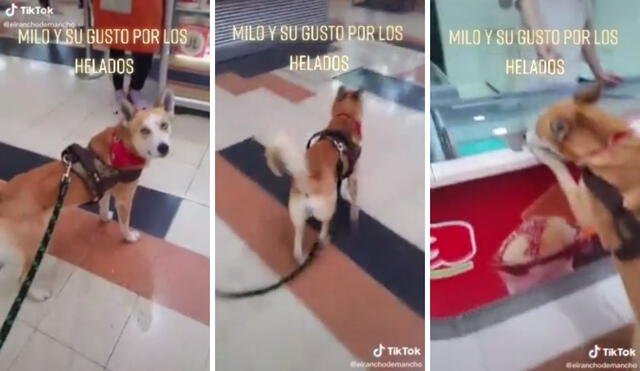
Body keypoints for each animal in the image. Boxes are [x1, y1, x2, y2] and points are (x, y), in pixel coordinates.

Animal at [0, 89, 175, 302]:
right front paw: (129, 237)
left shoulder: (106, 188)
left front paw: (105, 218)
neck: (123, 145)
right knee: (22, 277)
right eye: (144, 130)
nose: (163, 147)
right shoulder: (125, 199)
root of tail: (7, 191)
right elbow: (124, 224)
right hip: (36, 243)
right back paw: (37, 294)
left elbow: (103, 206)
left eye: (164, 125)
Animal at [266, 86, 364, 264]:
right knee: (323, 229)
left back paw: (301, 258)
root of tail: (309, 183)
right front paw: (355, 215)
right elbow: (355, 200)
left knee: (297, 243)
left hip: (297, 215)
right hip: (326, 210)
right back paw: (325, 240)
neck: (343, 118)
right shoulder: (354, 176)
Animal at [528, 83, 640, 360]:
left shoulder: (583, 206)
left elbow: (562, 173)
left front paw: (545, 155)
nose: (523, 135)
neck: (605, 143)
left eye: (536, 127)